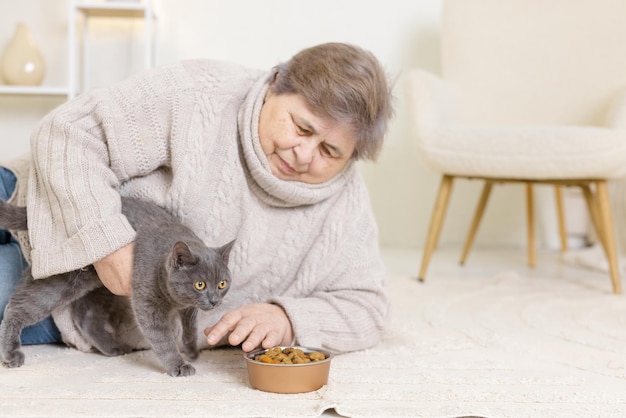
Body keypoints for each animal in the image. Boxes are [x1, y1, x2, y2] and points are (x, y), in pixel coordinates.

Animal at [0, 198, 233, 378]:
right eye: (200, 284)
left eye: (222, 283)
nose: (214, 300)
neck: (175, 300)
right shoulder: (146, 303)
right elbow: (162, 338)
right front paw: (179, 365)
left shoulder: (189, 307)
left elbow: (190, 325)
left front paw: (191, 350)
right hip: (61, 278)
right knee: (17, 307)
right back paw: (11, 354)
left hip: (101, 285)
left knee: (86, 316)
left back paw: (112, 347)